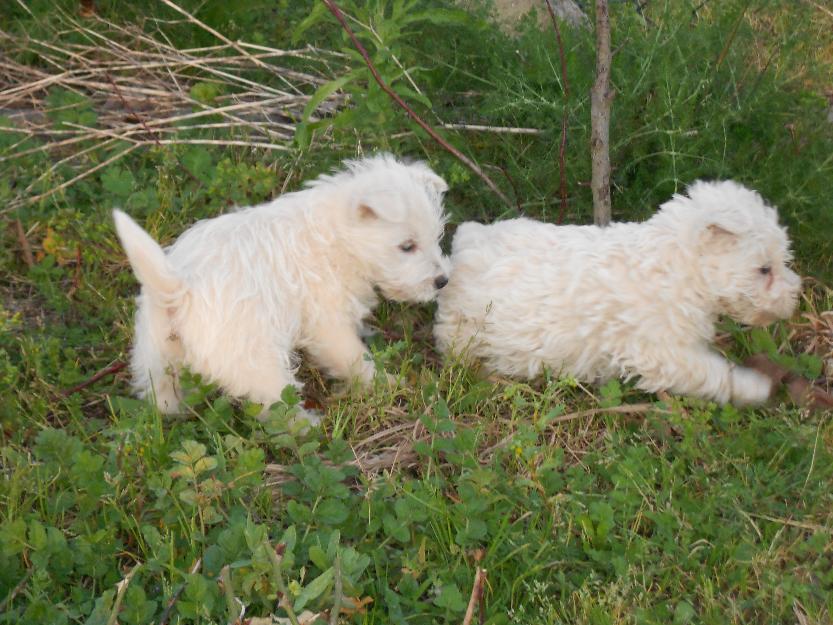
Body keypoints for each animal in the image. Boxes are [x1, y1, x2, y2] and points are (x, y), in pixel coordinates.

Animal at [115, 154, 448, 422]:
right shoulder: (328, 322)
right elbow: (354, 358)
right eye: (407, 246)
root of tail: (179, 291)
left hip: (156, 356)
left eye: (436, 237)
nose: (443, 281)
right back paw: (307, 427)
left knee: (162, 396)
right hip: (255, 360)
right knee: (275, 408)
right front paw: (387, 383)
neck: (338, 236)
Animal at [436, 180, 800, 404]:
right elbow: (713, 372)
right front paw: (755, 387)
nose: (794, 297)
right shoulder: (661, 352)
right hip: (466, 333)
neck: (677, 266)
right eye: (764, 269)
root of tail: (467, 240)